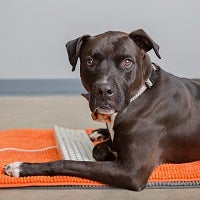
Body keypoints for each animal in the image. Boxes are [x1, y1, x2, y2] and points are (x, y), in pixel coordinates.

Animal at [4, 28, 200, 190]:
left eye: (127, 62)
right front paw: (108, 147)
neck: (141, 93)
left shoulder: (131, 171)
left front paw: (21, 167)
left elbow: (67, 163)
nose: (104, 90)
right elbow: (96, 150)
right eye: (89, 61)